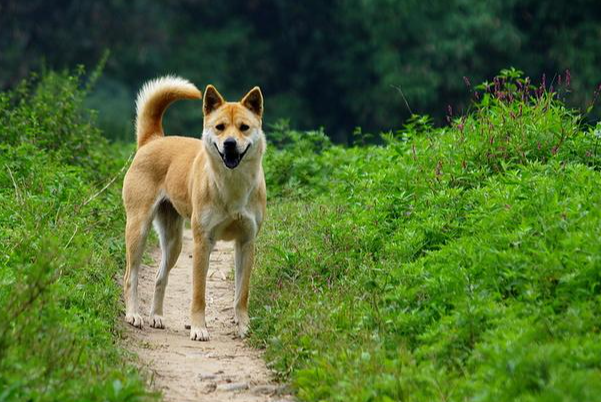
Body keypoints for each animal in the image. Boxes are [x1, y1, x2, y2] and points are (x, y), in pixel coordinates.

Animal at [122, 74, 264, 340]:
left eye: (244, 127)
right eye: (219, 127)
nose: (230, 144)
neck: (232, 185)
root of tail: (153, 139)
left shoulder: (246, 243)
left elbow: (242, 294)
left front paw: (243, 326)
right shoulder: (202, 242)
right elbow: (198, 293)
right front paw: (199, 328)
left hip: (174, 242)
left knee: (160, 277)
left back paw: (156, 316)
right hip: (138, 229)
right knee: (130, 276)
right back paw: (133, 314)